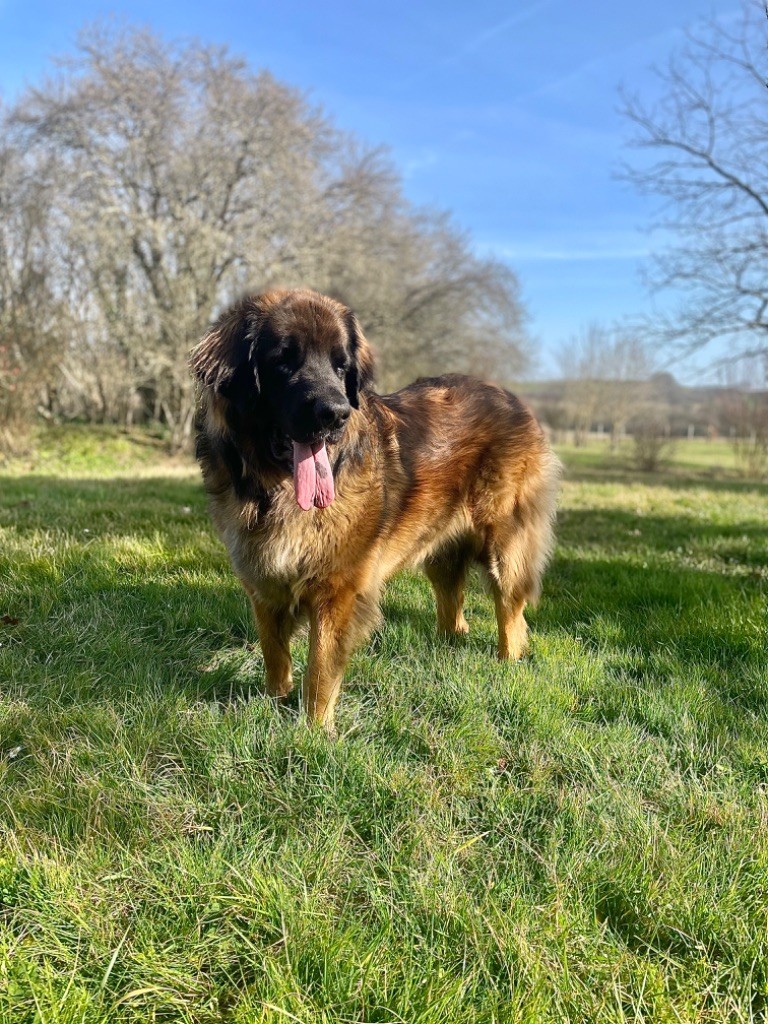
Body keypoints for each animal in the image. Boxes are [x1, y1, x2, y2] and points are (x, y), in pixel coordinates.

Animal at [190, 290, 561, 729]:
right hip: (441, 552)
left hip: (505, 545)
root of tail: (514, 400)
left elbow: (319, 670)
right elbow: (274, 656)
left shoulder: (338, 591)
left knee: (511, 610)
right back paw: (447, 652)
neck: (275, 492)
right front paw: (275, 705)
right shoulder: (264, 584)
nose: (335, 413)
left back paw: (507, 665)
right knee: (452, 605)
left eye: (341, 366)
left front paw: (314, 731)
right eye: (283, 360)